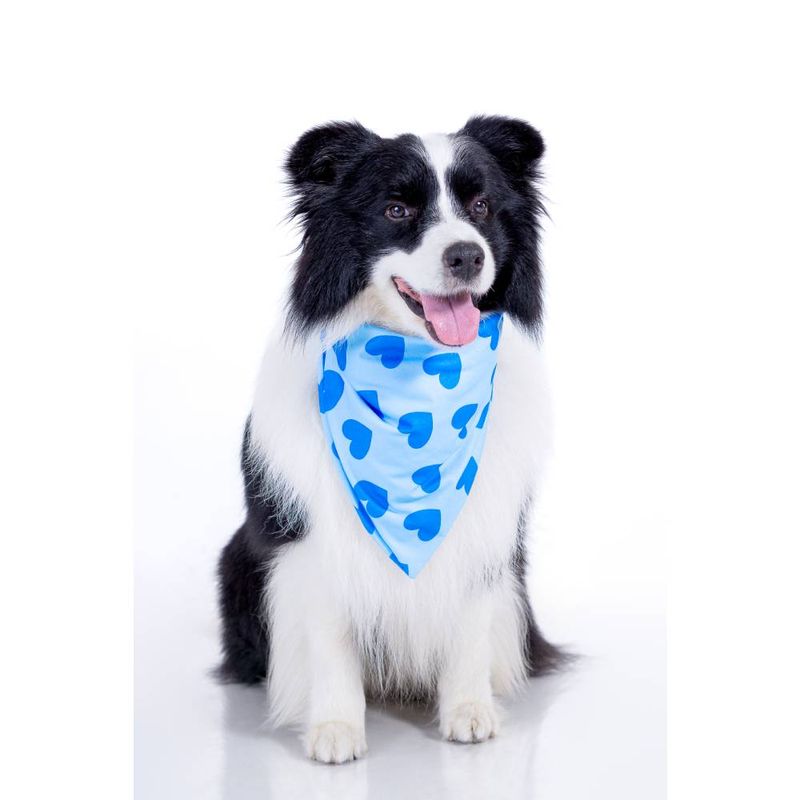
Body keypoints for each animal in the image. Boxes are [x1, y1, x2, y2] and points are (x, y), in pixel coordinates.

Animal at [216, 115, 564, 763]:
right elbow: (330, 637)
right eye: (397, 209)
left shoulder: (485, 530)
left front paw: (469, 712)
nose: (466, 255)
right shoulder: (314, 538)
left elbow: (470, 625)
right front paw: (334, 727)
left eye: (482, 205)